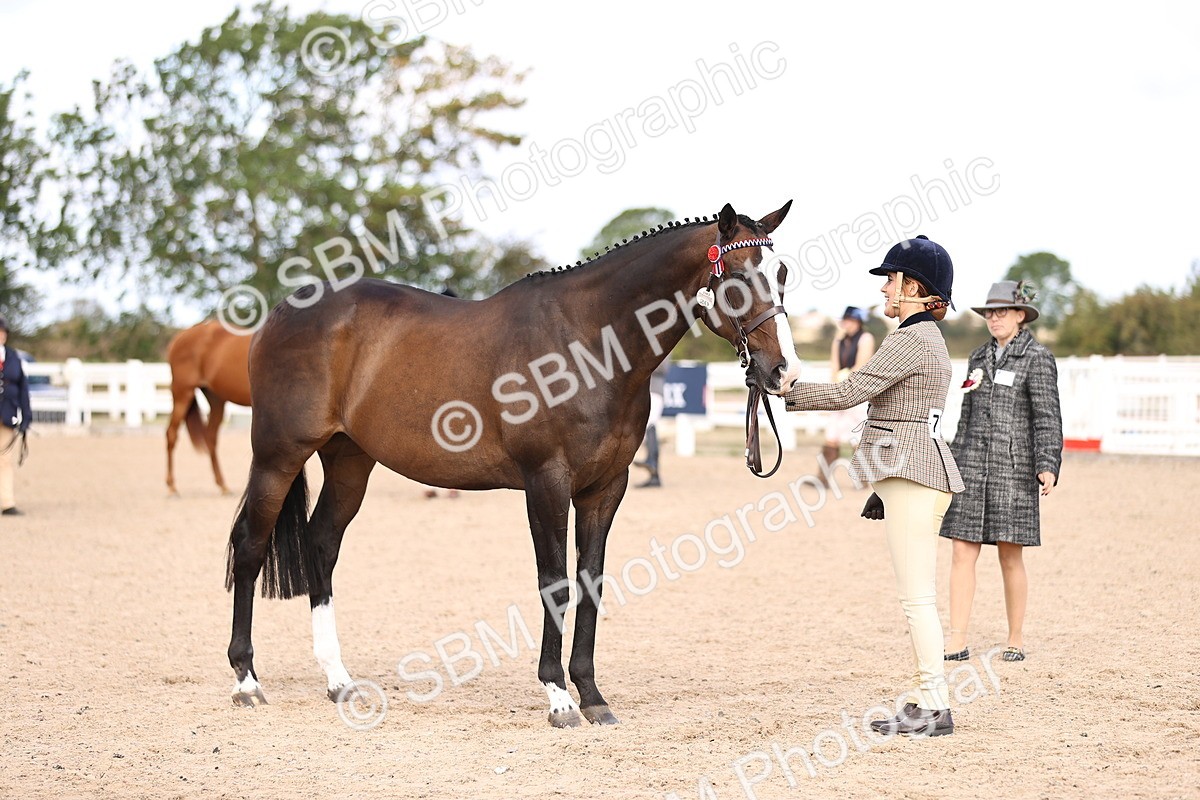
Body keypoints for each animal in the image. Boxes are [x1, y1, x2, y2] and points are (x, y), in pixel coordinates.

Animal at [165, 320, 252, 495]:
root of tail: (179, 338)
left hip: (216, 400)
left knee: (210, 437)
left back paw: (223, 485)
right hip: (182, 394)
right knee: (171, 434)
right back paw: (172, 487)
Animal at [224, 201, 801, 727]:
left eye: (782, 275)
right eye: (738, 280)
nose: (783, 372)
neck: (587, 343)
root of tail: (282, 313)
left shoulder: (605, 488)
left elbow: (590, 583)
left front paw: (592, 696)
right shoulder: (546, 482)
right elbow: (556, 583)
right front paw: (559, 698)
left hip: (349, 460)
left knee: (322, 544)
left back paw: (338, 680)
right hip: (277, 455)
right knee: (250, 545)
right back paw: (247, 681)